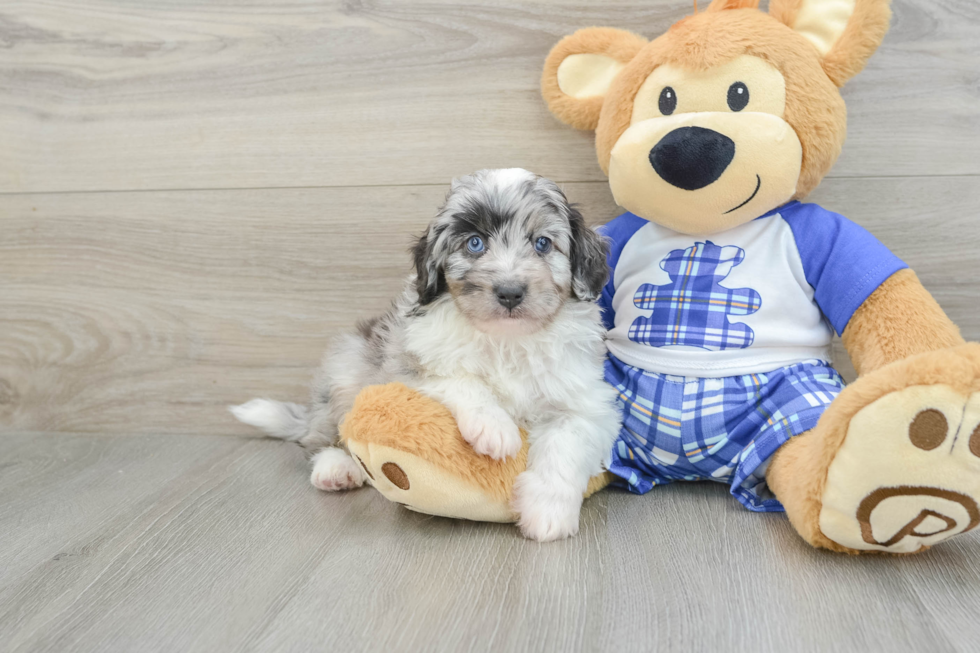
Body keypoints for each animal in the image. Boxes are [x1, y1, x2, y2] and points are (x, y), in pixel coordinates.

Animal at [235, 169, 620, 540]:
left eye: (542, 243)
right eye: (475, 243)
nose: (510, 292)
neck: (505, 340)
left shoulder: (586, 403)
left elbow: (566, 445)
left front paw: (547, 514)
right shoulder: (407, 363)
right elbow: (459, 379)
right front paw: (494, 427)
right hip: (346, 370)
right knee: (322, 434)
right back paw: (335, 467)